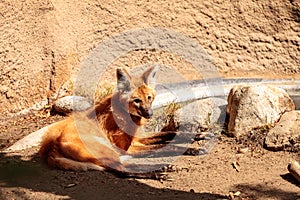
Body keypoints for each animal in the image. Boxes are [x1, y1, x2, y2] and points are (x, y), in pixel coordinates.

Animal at [39, 66, 176, 180]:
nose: (149, 114)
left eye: (149, 98)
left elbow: (170, 134)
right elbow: (161, 148)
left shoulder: (138, 138)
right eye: (137, 100)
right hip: (107, 150)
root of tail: (52, 147)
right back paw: (158, 172)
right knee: (122, 171)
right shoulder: (128, 148)